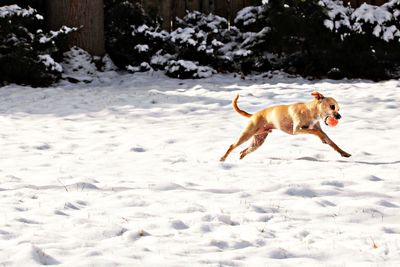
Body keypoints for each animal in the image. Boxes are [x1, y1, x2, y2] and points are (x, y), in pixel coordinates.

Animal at [220, 91, 352, 162]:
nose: (339, 116)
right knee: (232, 146)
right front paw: (321, 137)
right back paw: (223, 158)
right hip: (247, 135)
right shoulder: (297, 130)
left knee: (243, 152)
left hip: (258, 141)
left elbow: (332, 142)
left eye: (338, 108)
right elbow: (316, 132)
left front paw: (344, 153)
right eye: (332, 106)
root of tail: (254, 115)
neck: (310, 111)